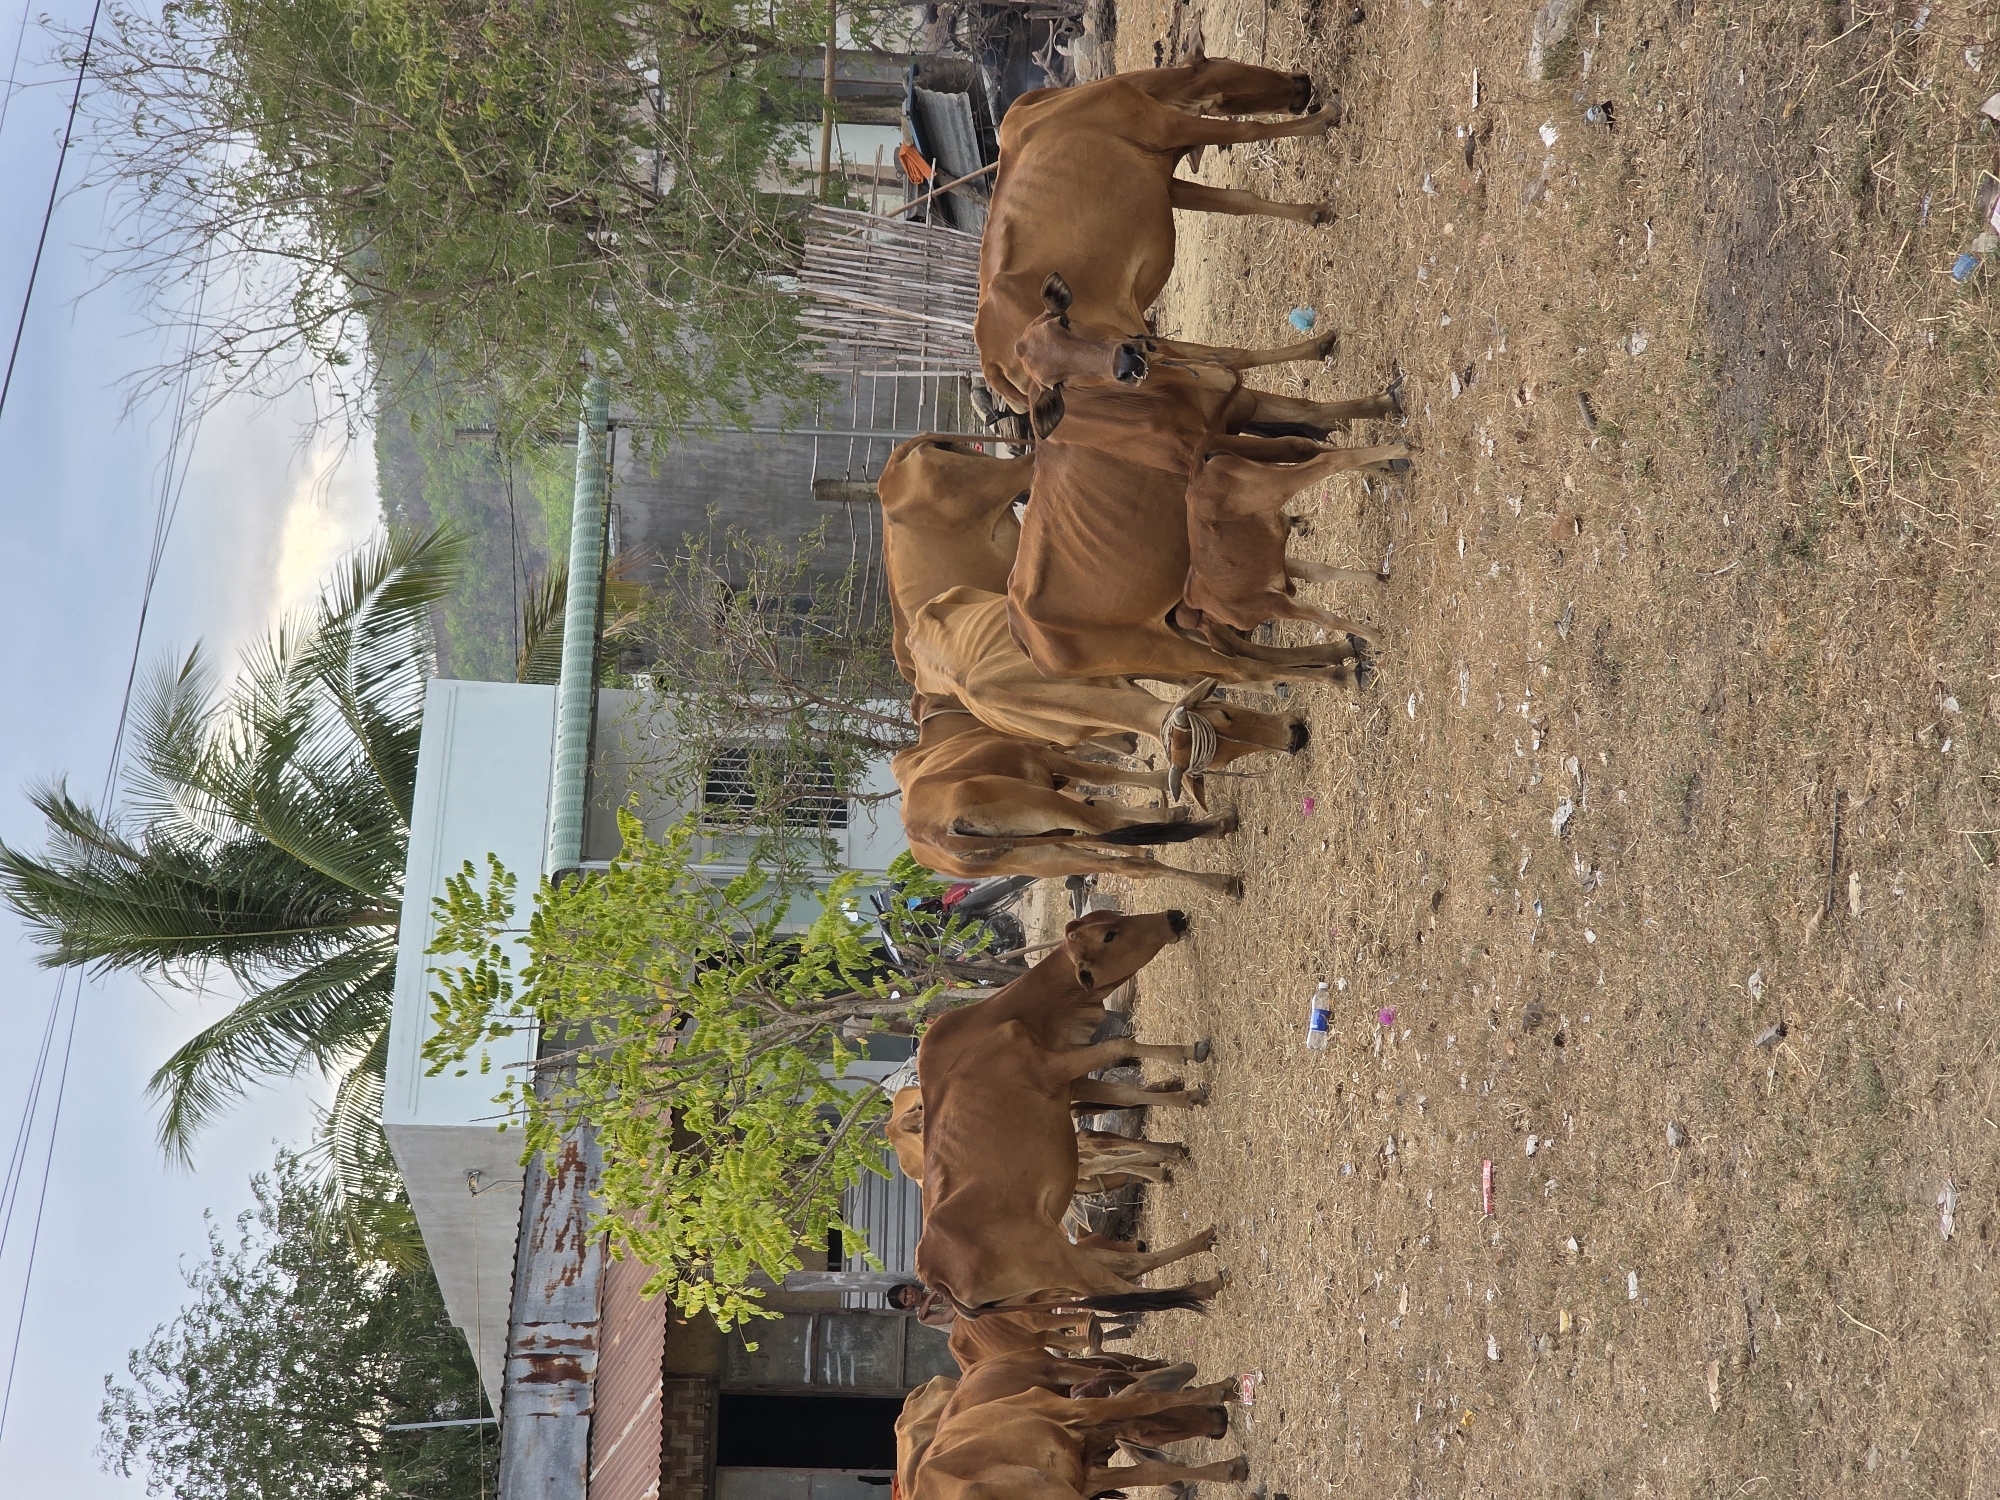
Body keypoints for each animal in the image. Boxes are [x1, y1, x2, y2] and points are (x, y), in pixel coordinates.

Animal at [894, 695, 1245, 894]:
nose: (1129, 739)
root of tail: (931, 832)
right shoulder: (1048, 759)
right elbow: (1105, 777)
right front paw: (1165, 791)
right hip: (1049, 806)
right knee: (1114, 828)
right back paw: (1218, 825)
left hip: (1045, 857)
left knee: (1126, 863)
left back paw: (1219, 882)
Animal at [916, 909, 1224, 1318]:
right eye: (1109, 936)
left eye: (1112, 919)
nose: (1172, 917)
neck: (1012, 1016)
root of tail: (935, 1279)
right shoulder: (1056, 1069)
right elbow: (1120, 1045)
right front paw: (1187, 1054)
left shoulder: (1073, 1086)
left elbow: (1126, 1095)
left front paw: (1178, 1126)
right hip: (1059, 1258)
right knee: (1123, 1284)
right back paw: (1207, 1284)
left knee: (1132, 1263)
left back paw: (1201, 1244)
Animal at [976, 44, 1343, 412]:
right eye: (1230, 62)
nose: (1303, 82)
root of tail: (993, 366)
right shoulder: (1169, 126)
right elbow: (1249, 130)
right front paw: (1324, 118)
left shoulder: (1167, 180)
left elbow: (1240, 200)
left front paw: (1314, 213)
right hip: (1128, 338)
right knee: (1216, 360)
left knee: (1219, 357)